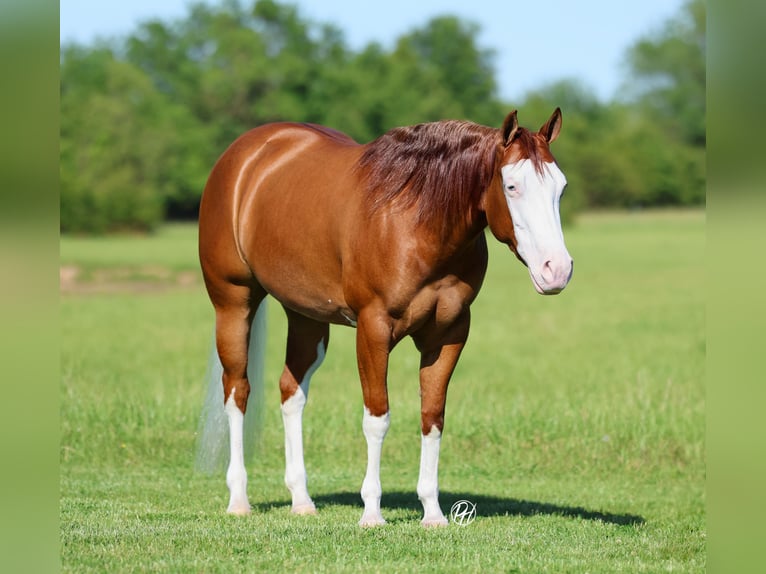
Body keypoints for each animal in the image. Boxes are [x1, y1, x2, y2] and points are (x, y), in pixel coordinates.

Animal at [197, 108, 573, 527]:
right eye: (511, 186)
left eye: (560, 187)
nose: (557, 270)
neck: (417, 221)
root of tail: (245, 155)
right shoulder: (373, 328)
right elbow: (377, 419)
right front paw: (372, 513)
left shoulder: (449, 333)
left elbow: (432, 417)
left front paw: (433, 513)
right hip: (233, 302)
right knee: (237, 391)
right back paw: (239, 499)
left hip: (306, 316)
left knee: (291, 392)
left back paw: (301, 500)